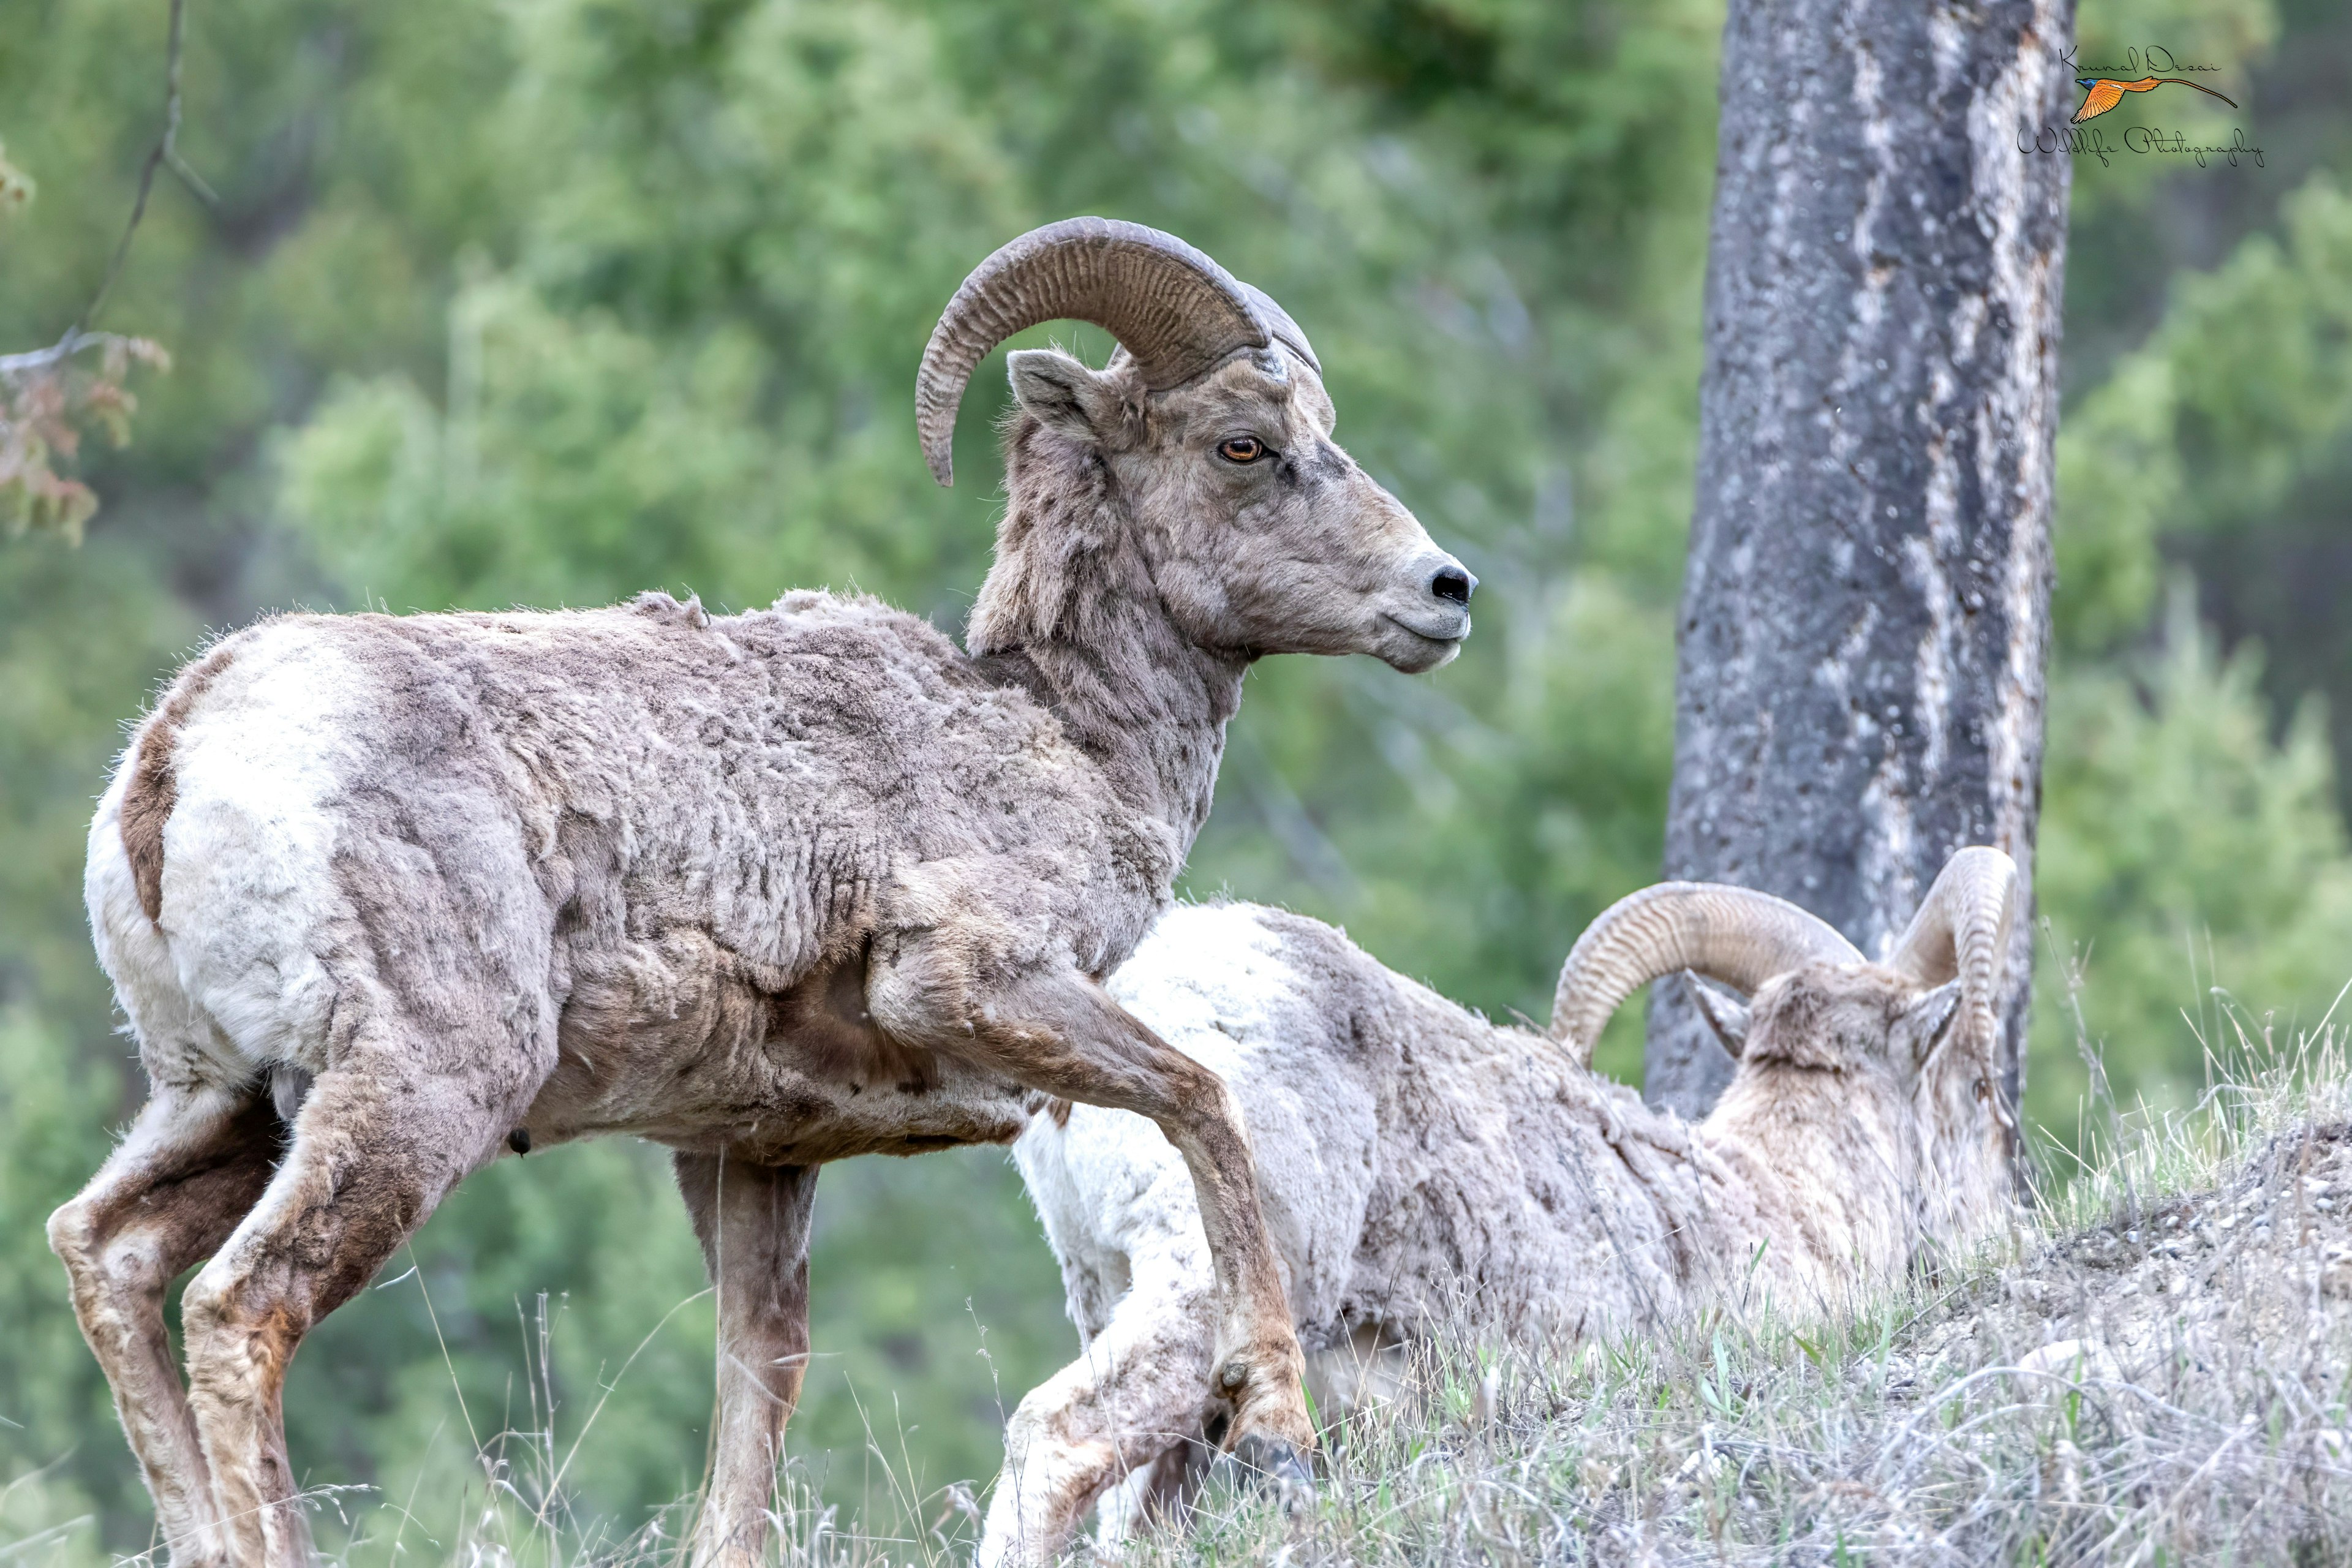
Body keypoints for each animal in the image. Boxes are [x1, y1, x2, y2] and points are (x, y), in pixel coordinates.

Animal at [45, 217, 1468, 1568]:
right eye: (1244, 445)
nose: (1446, 592)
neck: (1057, 736)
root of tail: (178, 746)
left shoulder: (753, 1153)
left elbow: (756, 1387)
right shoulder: (977, 986)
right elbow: (1204, 1102)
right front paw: (1273, 1425)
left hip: (227, 1101)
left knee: (106, 1252)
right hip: (411, 1095)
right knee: (240, 1308)